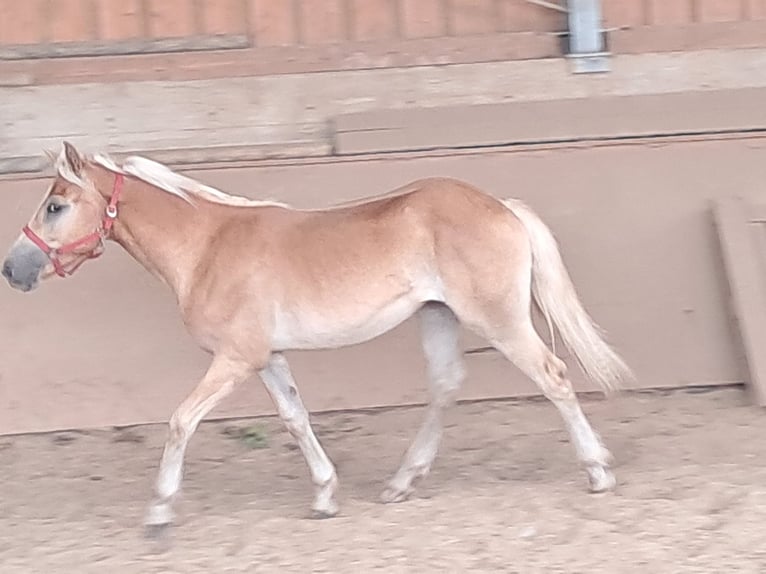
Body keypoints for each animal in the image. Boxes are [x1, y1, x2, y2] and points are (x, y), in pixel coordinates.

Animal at [1, 143, 636, 536]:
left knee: (553, 377)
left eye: (55, 205)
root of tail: (500, 207)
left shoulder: (235, 358)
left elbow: (181, 421)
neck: (208, 247)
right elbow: (295, 420)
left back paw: (598, 471)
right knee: (445, 387)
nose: (13, 269)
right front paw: (326, 496)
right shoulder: (267, 358)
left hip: (498, 320)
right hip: (438, 316)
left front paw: (158, 513)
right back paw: (401, 483)